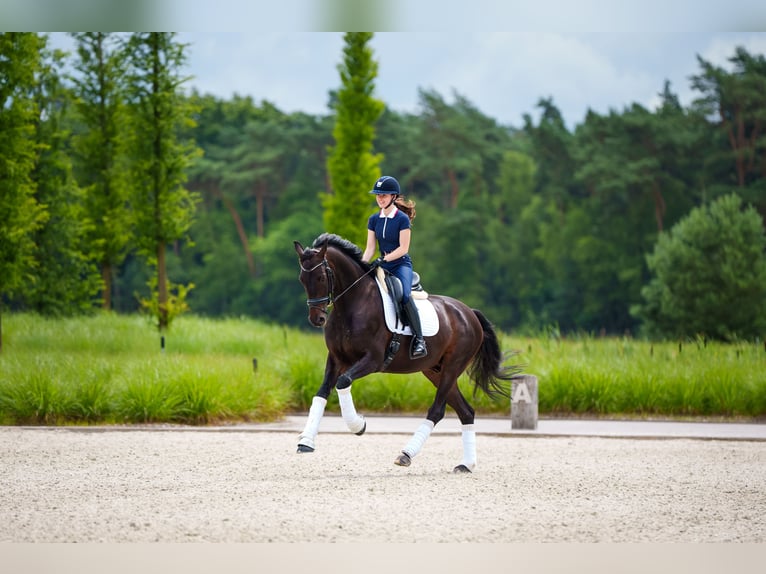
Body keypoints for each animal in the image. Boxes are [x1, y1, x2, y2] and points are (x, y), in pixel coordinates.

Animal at [294, 232, 520, 474]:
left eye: (320, 278)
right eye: (302, 279)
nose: (317, 319)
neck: (352, 305)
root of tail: (470, 313)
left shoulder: (373, 360)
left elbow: (343, 382)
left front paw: (359, 425)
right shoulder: (337, 359)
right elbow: (322, 392)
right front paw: (306, 441)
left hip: (452, 367)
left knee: (437, 411)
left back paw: (406, 454)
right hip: (435, 371)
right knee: (466, 411)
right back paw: (465, 465)